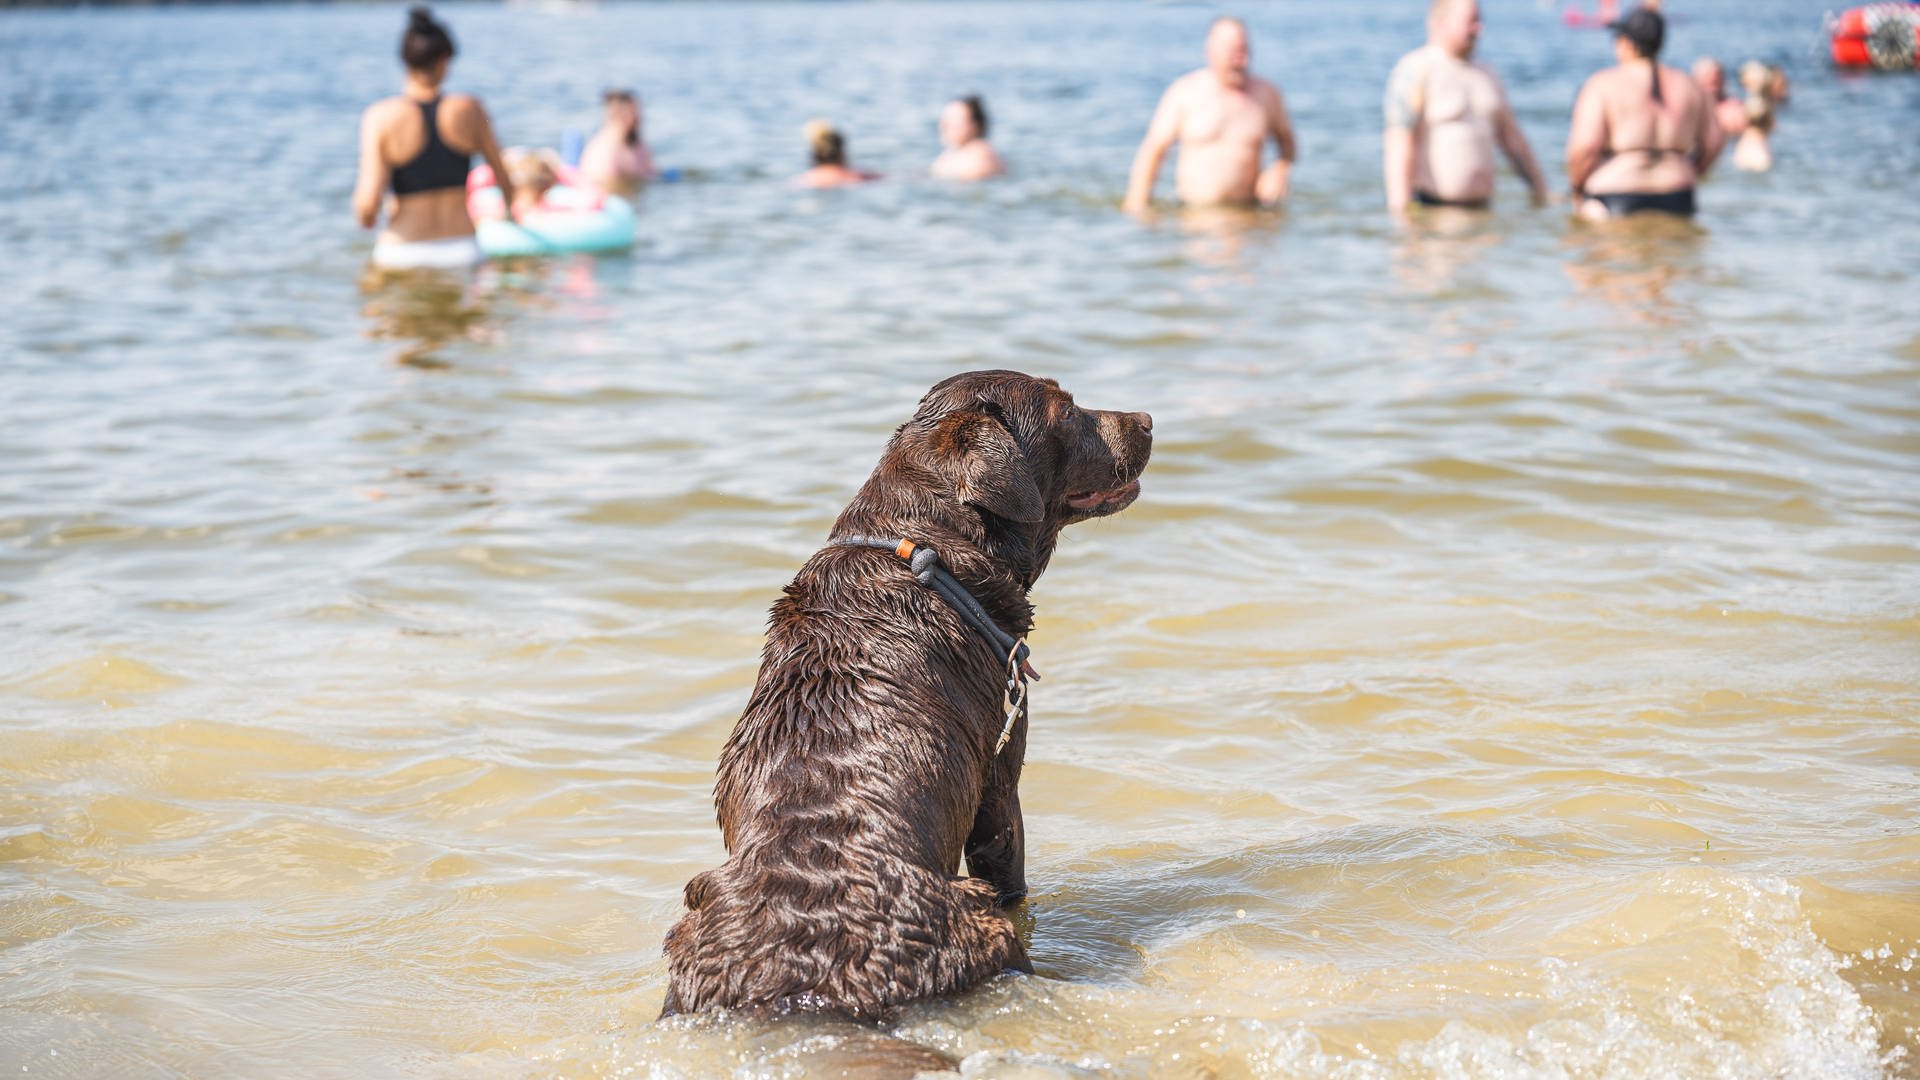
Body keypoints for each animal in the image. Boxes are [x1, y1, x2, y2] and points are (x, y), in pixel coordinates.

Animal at [660, 368, 1144, 1014]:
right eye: (1065, 409)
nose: (1147, 420)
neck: (928, 549)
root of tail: (802, 984)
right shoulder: (999, 787)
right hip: (982, 919)